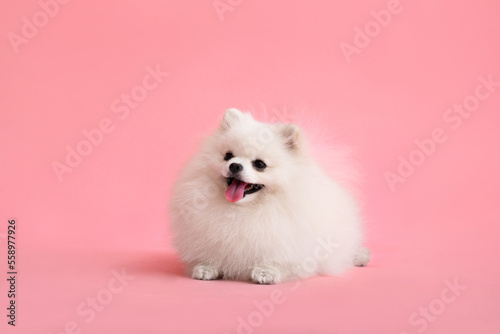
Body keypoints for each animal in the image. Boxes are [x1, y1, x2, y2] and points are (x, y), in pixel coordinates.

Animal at [170, 108, 370, 284]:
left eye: (260, 164)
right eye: (228, 156)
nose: (235, 165)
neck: (243, 210)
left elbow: (278, 260)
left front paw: (266, 272)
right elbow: (211, 253)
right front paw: (206, 267)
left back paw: (361, 256)